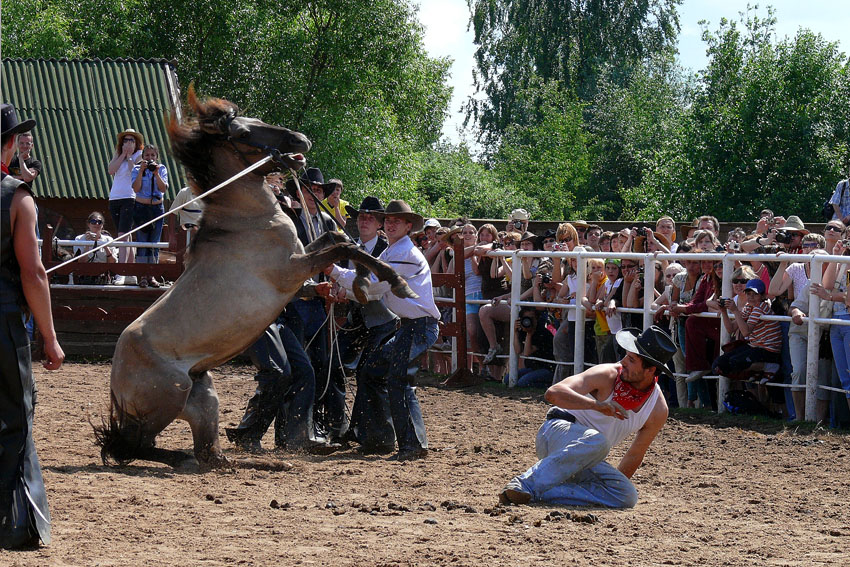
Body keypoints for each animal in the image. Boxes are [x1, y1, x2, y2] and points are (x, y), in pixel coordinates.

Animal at [97, 90, 412, 470]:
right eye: (244, 134)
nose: (299, 139)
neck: (247, 221)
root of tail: (116, 382)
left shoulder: (301, 260)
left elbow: (339, 239)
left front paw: (361, 283)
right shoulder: (291, 271)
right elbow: (343, 247)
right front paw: (395, 282)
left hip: (204, 397)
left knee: (211, 456)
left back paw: (269, 463)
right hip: (171, 395)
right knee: (138, 448)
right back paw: (184, 460)